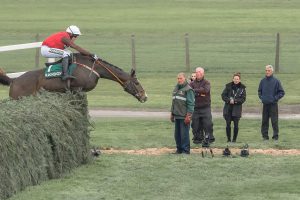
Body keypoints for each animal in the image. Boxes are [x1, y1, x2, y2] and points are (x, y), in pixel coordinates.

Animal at [0, 52, 148, 101]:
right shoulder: (77, 89)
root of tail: (14, 80)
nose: (145, 96)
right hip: (17, 99)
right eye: (136, 83)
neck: (94, 68)